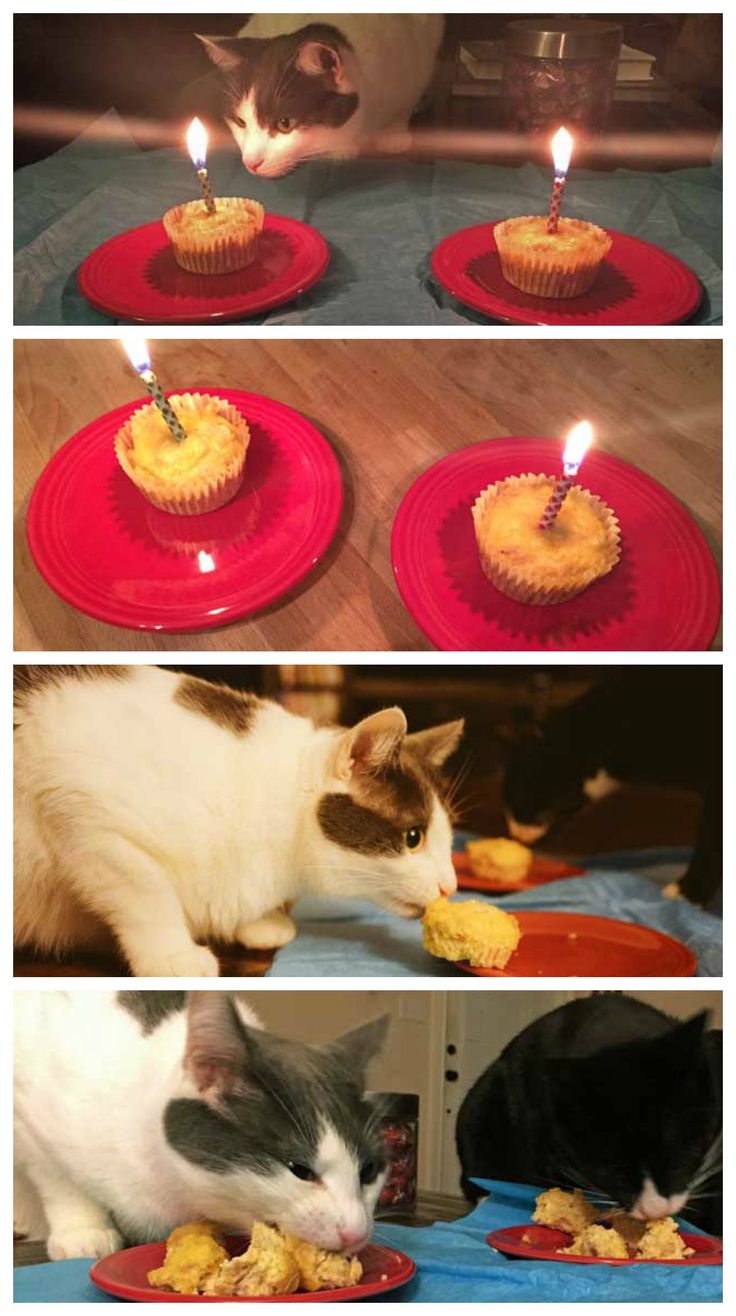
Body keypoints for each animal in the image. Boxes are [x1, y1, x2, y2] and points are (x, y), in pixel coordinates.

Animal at [13, 989, 392, 1258]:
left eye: (369, 1171)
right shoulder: (28, 1104)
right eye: (299, 1169)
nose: (357, 1232)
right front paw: (83, 1232)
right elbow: (57, 1178)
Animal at [14, 668, 463, 979]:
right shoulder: (79, 808)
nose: (451, 887)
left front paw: (258, 922)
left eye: (450, 839)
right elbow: (146, 892)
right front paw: (172, 956)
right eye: (413, 837)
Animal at [197, 12, 442, 176]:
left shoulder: (414, 54)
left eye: (285, 123)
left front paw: (394, 134)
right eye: (240, 121)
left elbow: (406, 101)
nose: (251, 163)